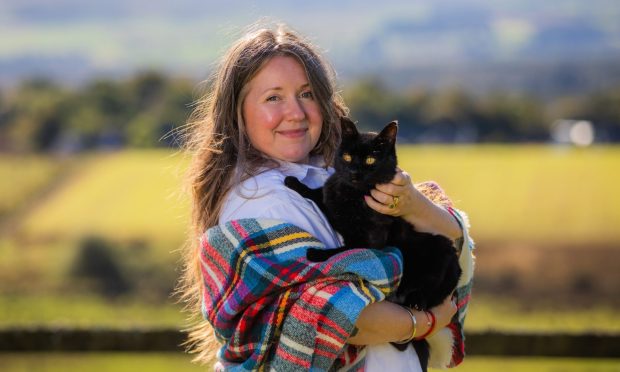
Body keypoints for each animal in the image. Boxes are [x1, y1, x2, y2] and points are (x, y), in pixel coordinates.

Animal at [286, 117, 460, 372]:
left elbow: (347, 249)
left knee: (433, 292)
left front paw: (317, 253)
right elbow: (319, 194)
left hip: (444, 250)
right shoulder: (333, 194)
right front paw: (294, 183)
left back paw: (416, 301)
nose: (354, 173)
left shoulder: (372, 241)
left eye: (370, 160)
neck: (354, 196)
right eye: (348, 157)